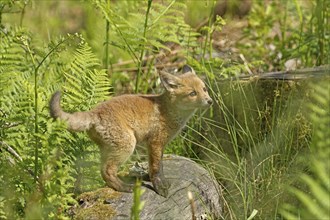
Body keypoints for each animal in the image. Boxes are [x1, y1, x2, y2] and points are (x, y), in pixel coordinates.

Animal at [50, 64, 213, 197]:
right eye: (192, 93)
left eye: (204, 89)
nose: (210, 101)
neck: (167, 111)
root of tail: (94, 112)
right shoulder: (155, 142)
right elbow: (156, 169)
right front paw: (160, 188)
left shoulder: (153, 145)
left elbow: (155, 167)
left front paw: (154, 179)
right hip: (127, 146)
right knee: (106, 171)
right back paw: (124, 188)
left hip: (110, 148)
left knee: (103, 169)